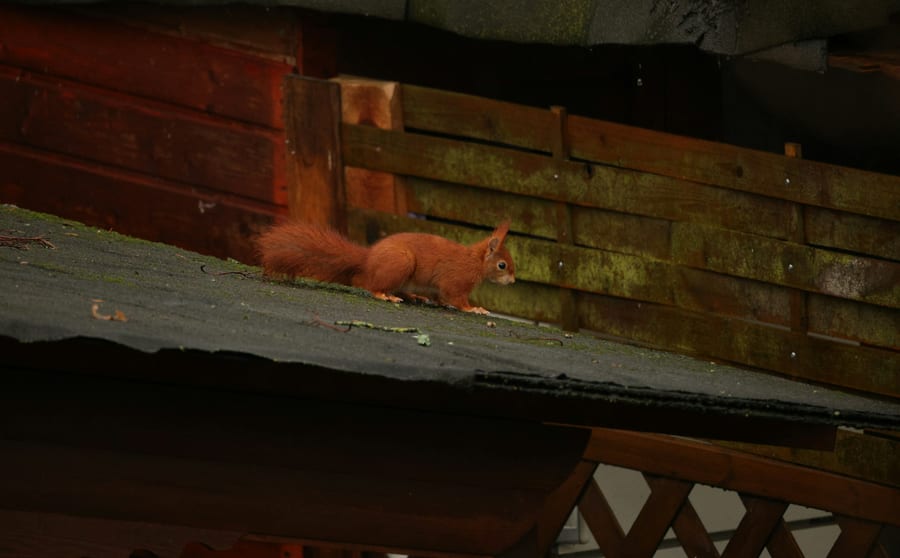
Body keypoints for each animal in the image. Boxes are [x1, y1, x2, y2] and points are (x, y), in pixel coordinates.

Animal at [256, 221, 515, 314]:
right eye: (502, 265)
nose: (513, 282)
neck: (476, 261)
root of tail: (368, 259)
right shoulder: (457, 280)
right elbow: (456, 298)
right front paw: (474, 309)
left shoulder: (439, 286)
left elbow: (440, 296)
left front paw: (440, 303)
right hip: (401, 263)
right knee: (374, 287)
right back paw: (385, 296)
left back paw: (412, 296)